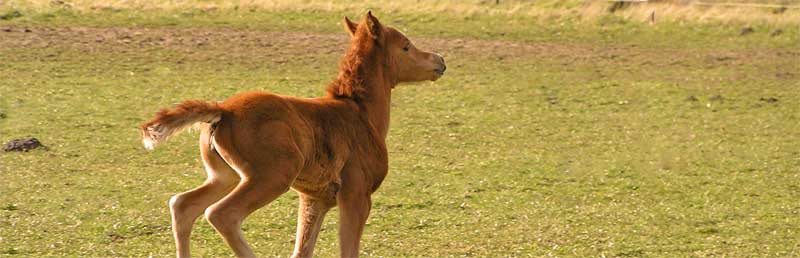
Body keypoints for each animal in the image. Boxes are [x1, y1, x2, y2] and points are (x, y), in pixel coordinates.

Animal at [141, 12, 446, 258]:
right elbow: (347, 250)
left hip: (225, 175)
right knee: (221, 214)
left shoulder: (316, 198)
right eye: (406, 46)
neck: (361, 112)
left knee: (183, 205)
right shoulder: (356, 194)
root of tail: (223, 111)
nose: (439, 60)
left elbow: (302, 250)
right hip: (274, 175)